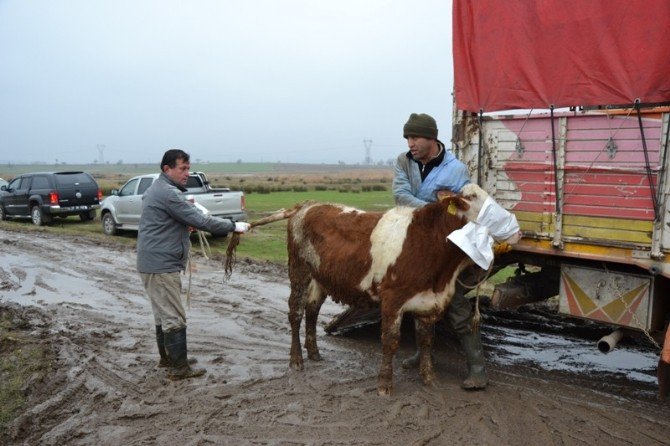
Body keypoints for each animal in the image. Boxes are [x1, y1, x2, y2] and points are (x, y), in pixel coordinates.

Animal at [288, 183, 494, 396]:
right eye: (479, 202)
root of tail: (308, 205)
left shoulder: (426, 301)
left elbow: (426, 341)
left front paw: (429, 378)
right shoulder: (392, 299)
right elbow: (390, 340)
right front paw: (385, 384)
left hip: (321, 277)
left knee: (312, 309)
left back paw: (314, 352)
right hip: (299, 270)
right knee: (296, 313)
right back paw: (296, 359)